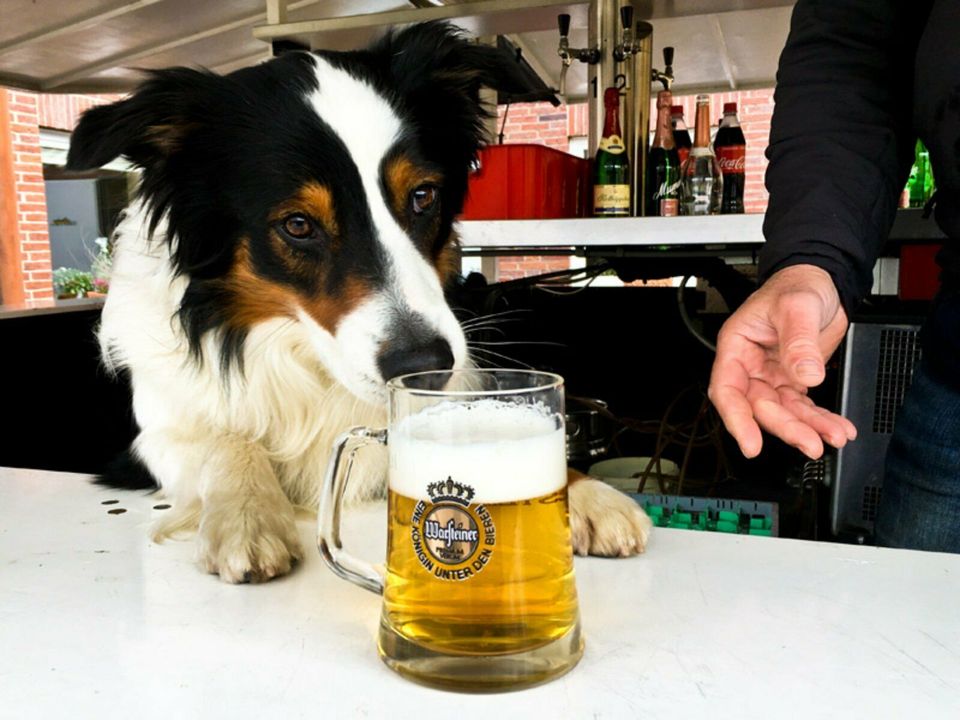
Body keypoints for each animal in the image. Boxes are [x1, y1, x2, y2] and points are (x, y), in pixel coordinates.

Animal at [65, 23, 652, 584]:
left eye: (422, 196)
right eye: (298, 224)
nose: (425, 364)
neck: (300, 357)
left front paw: (583, 494)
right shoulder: (151, 439)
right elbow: (225, 441)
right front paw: (247, 513)